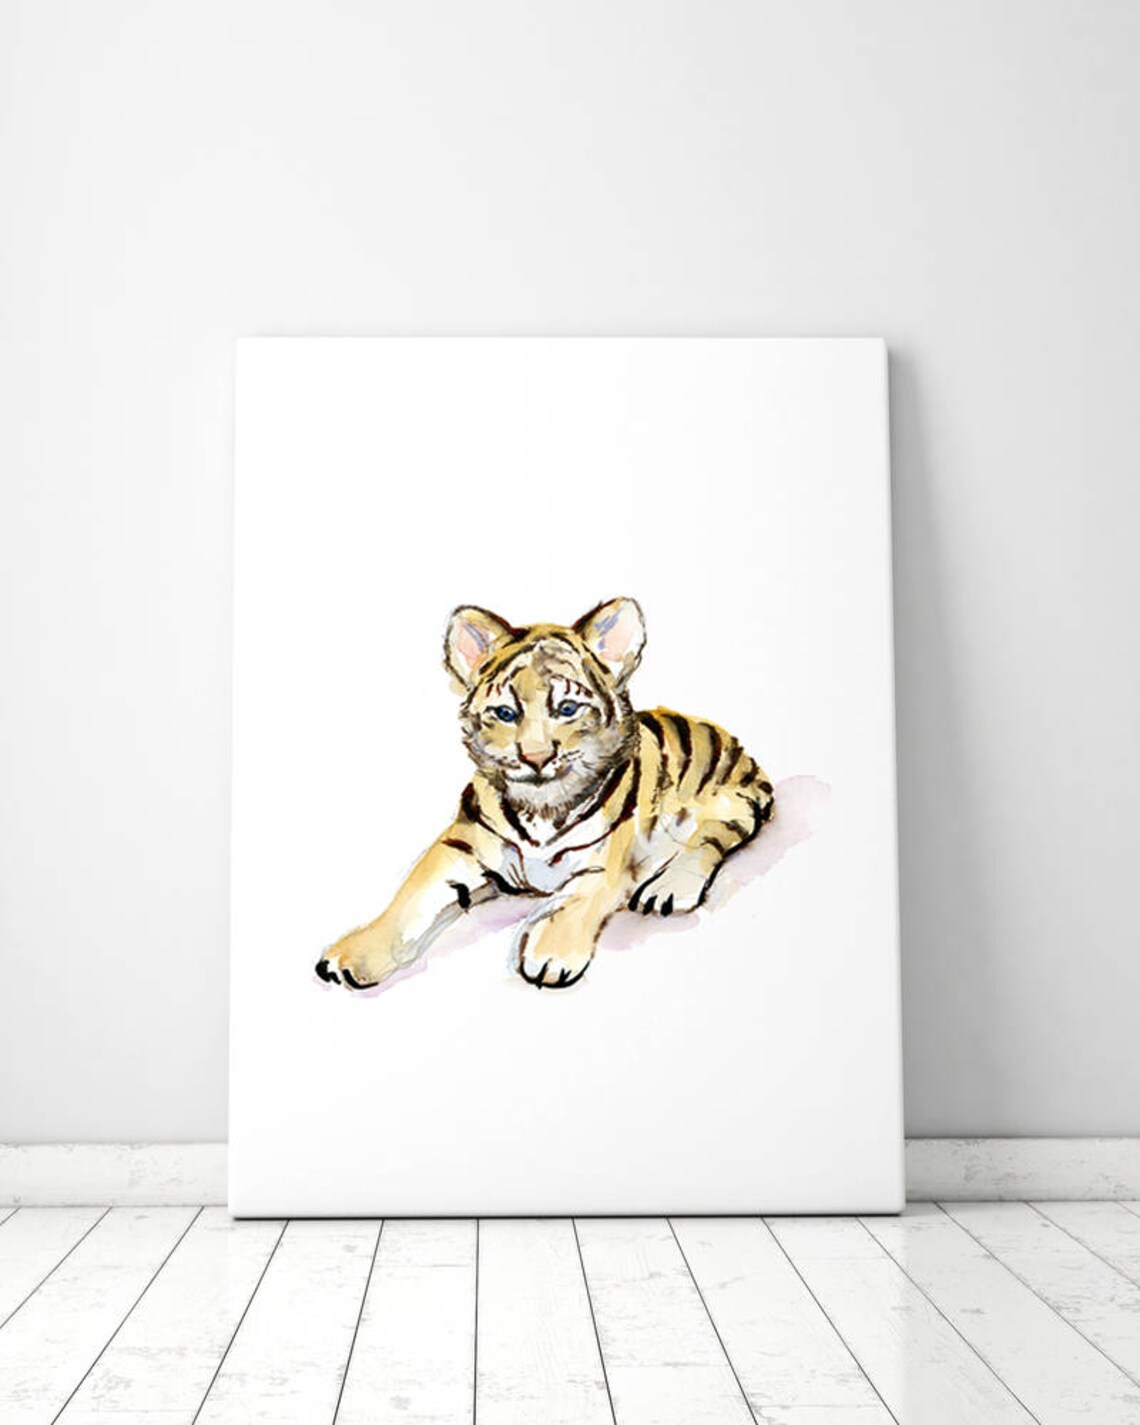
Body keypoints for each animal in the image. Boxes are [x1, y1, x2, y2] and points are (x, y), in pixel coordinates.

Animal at [315, 597, 774, 991]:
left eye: (567, 709)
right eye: (505, 713)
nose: (536, 758)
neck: (541, 806)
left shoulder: (600, 865)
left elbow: (574, 904)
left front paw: (551, 955)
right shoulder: (459, 846)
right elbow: (409, 901)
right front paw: (351, 956)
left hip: (730, 803)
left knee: (712, 838)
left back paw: (667, 890)